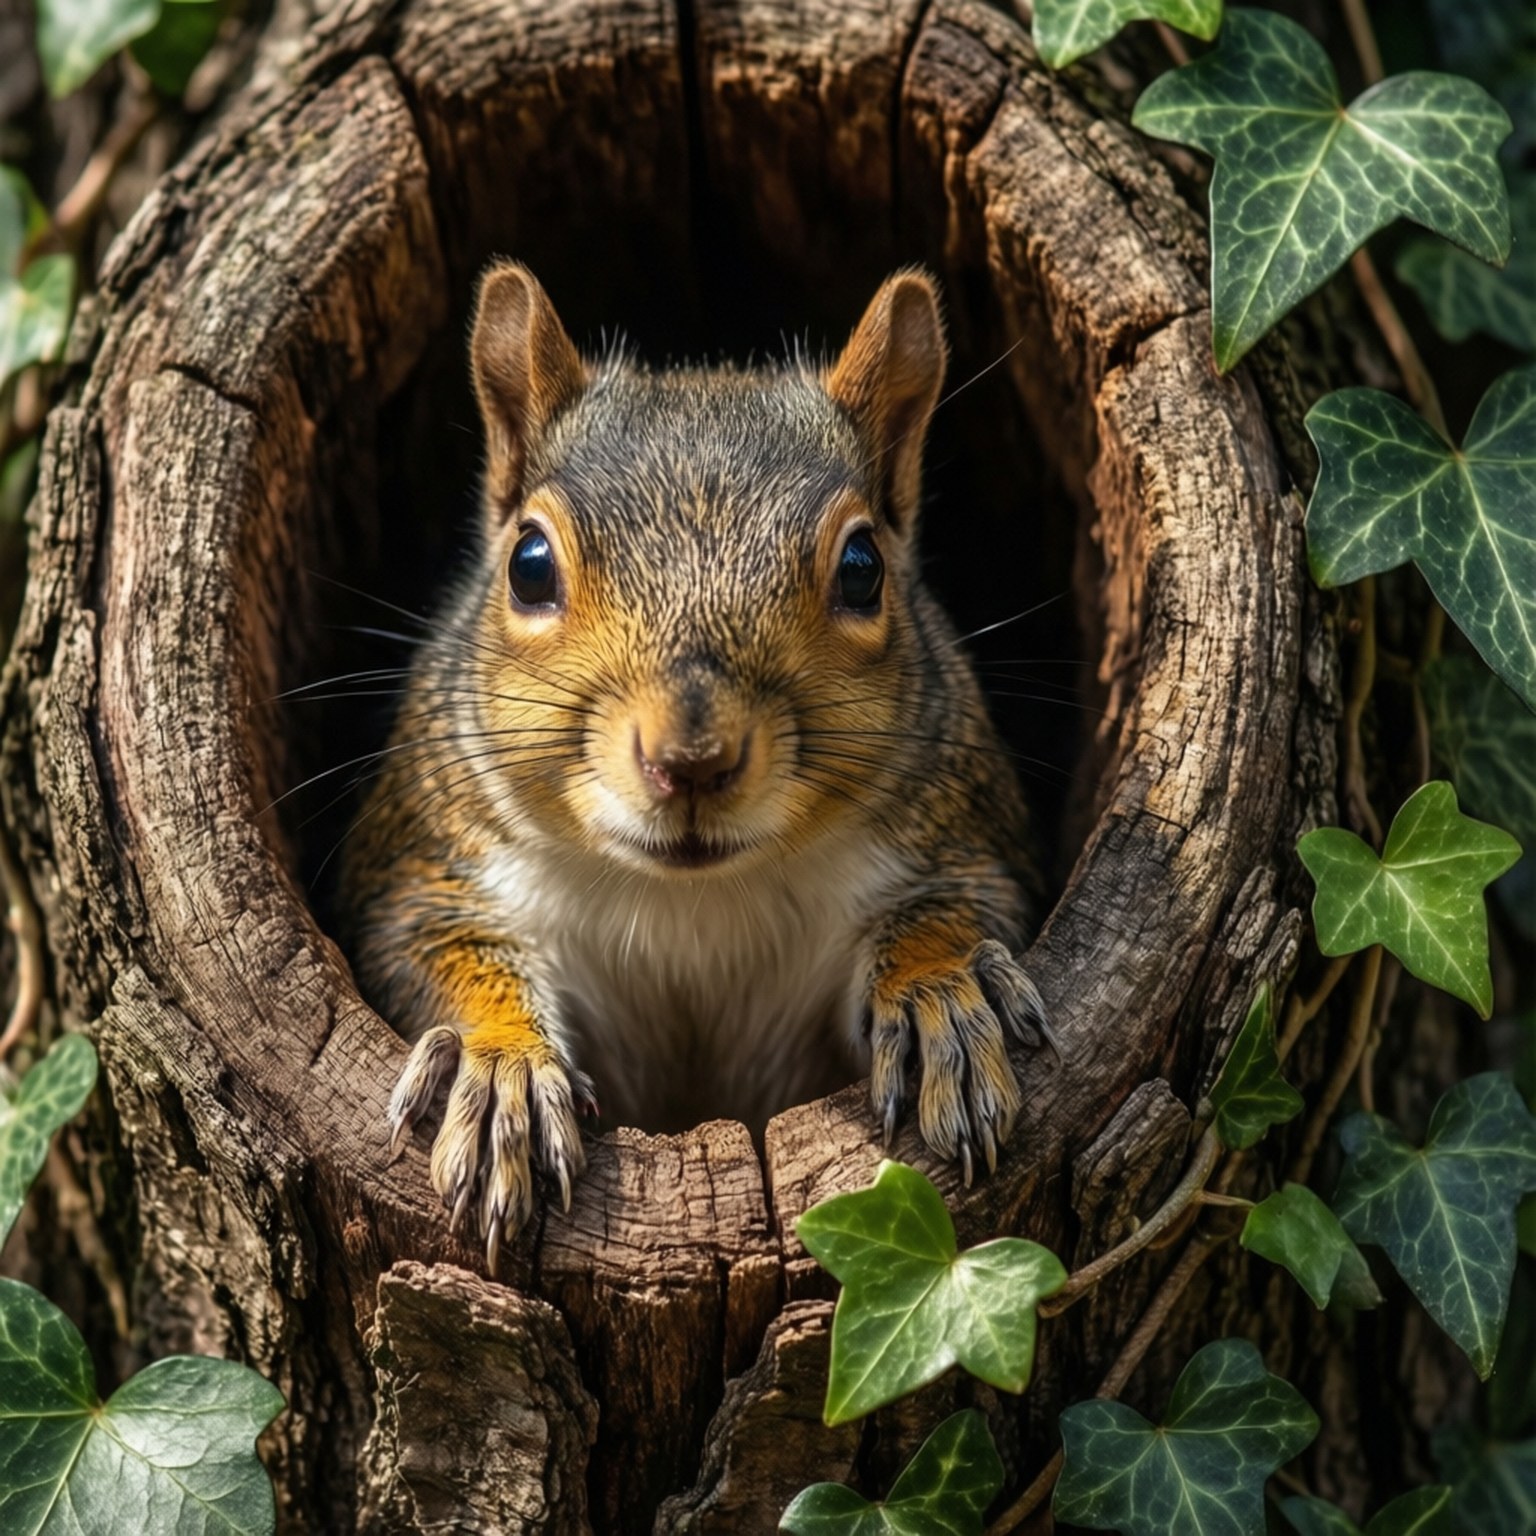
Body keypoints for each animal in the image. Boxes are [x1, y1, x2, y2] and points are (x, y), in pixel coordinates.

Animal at [341, 261, 1055, 1268]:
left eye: (864, 567)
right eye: (529, 564)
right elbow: (434, 950)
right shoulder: (422, 872)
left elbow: (958, 908)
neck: (690, 906)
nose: (690, 760)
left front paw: (941, 991)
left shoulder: (964, 842)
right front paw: (501, 1069)